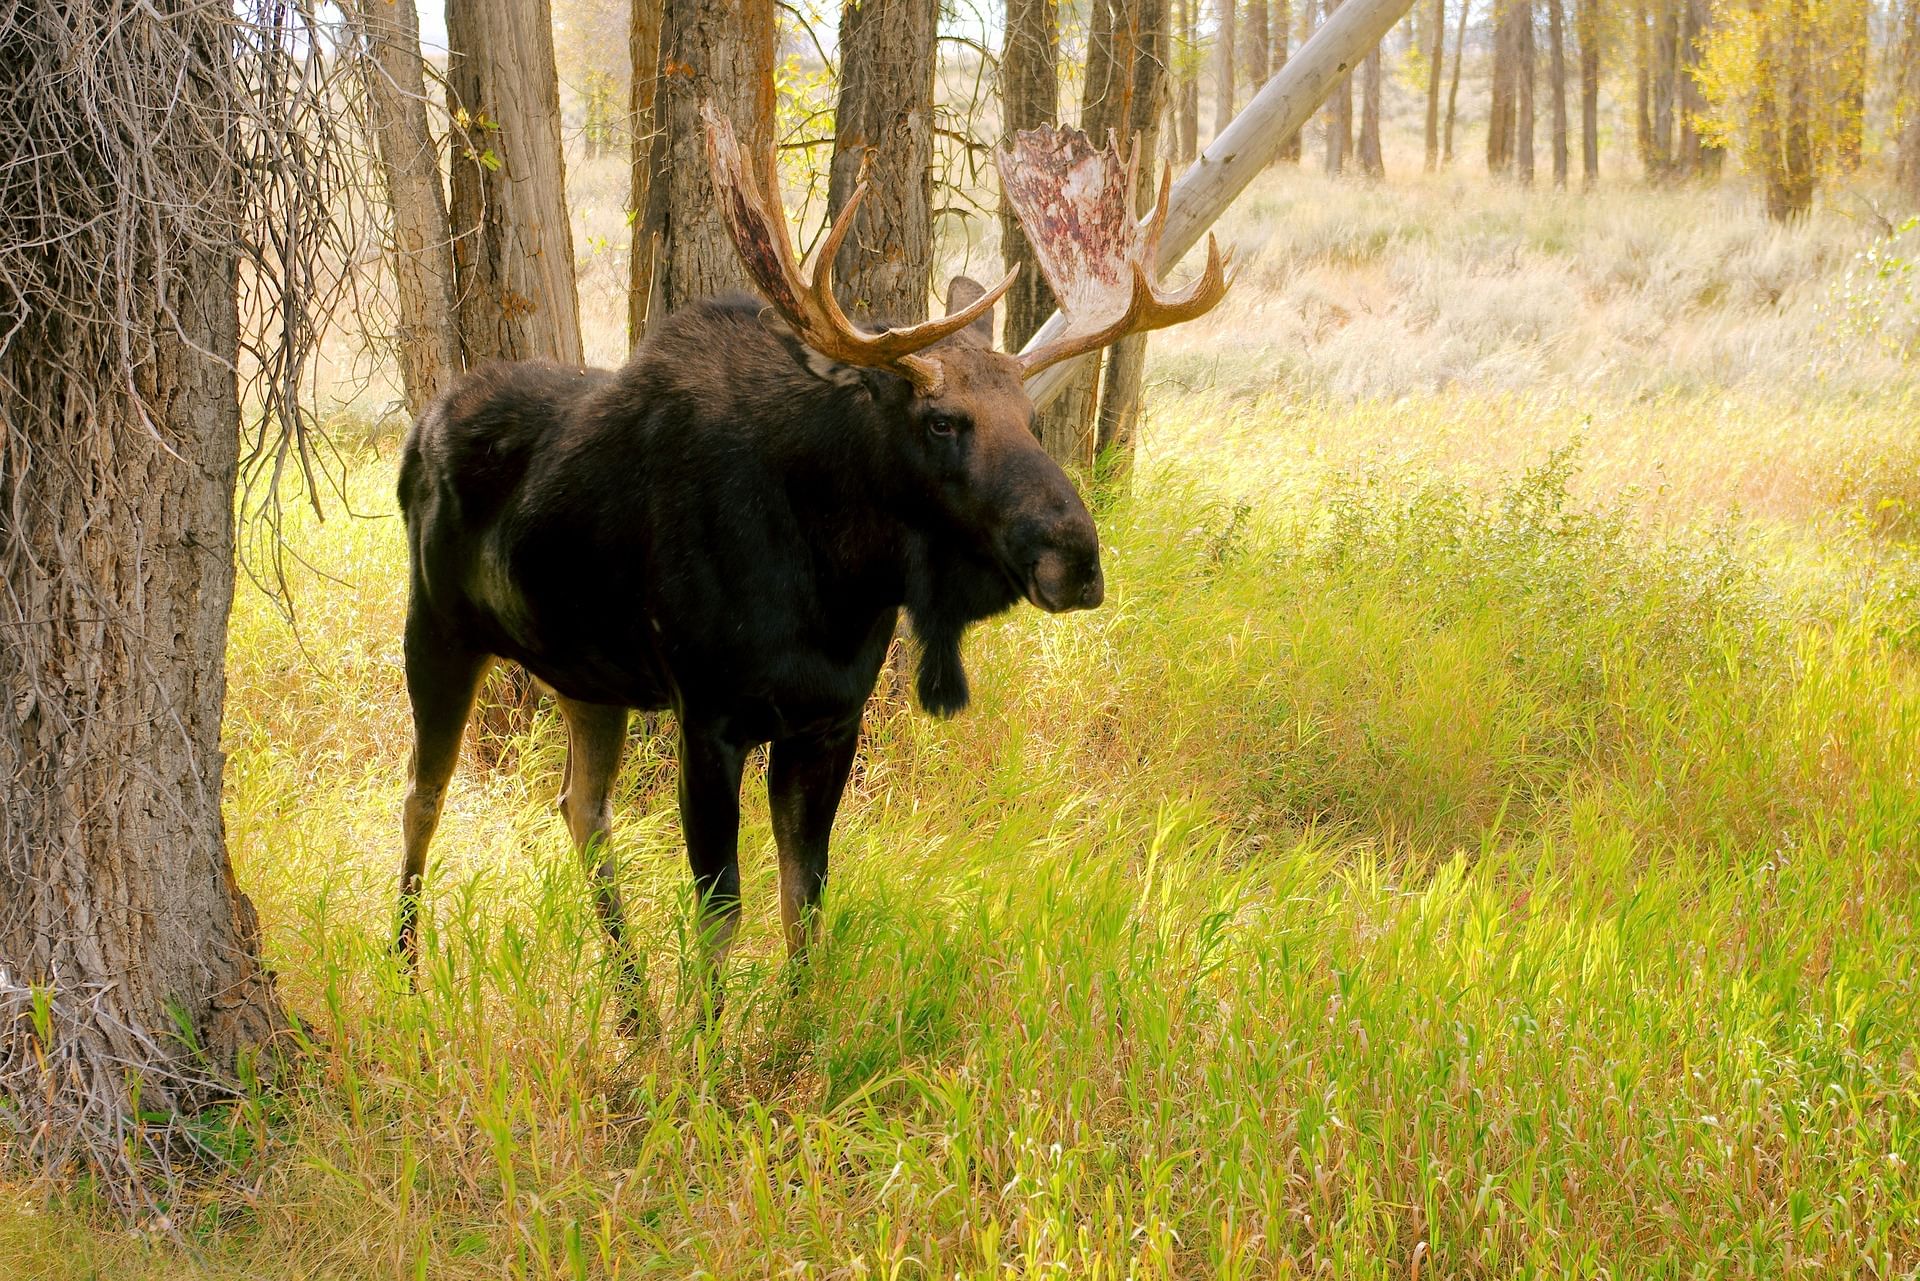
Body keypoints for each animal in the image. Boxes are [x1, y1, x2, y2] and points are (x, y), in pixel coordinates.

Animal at [393, 110, 1228, 1029]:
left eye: (1031, 415)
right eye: (942, 419)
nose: (1076, 556)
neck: (837, 583)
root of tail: (417, 430)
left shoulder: (830, 719)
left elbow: (807, 897)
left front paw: (793, 1032)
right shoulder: (709, 714)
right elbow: (721, 907)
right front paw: (709, 1048)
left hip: (587, 676)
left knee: (581, 807)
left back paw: (636, 1010)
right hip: (436, 630)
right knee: (421, 801)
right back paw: (407, 977)